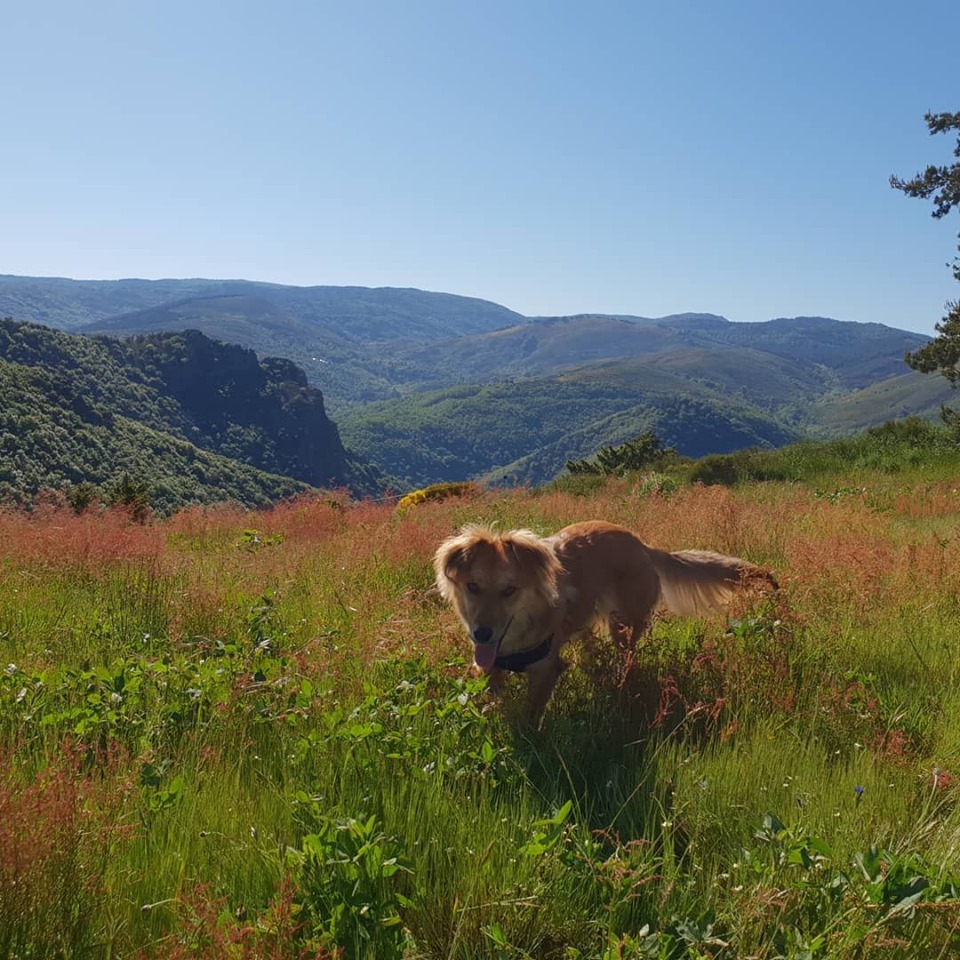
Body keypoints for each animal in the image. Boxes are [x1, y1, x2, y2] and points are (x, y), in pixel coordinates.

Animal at [436, 520, 780, 716]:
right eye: (473, 587)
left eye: (509, 590)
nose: (481, 634)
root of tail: (642, 545)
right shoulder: (490, 669)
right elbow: (493, 703)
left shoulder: (545, 670)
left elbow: (530, 716)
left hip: (623, 625)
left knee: (624, 658)